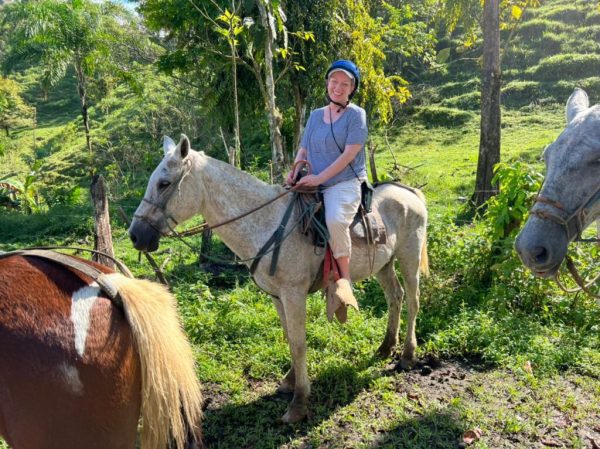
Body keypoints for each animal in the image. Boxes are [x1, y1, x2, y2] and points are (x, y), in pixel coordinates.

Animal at [127, 135, 426, 422]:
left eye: (164, 183)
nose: (135, 235)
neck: (268, 223)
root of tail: (409, 192)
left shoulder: (294, 294)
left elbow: (299, 343)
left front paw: (299, 402)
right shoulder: (277, 297)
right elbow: (288, 338)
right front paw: (289, 382)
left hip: (409, 258)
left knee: (413, 300)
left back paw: (407, 355)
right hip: (383, 265)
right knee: (395, 297)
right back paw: (385, 347)